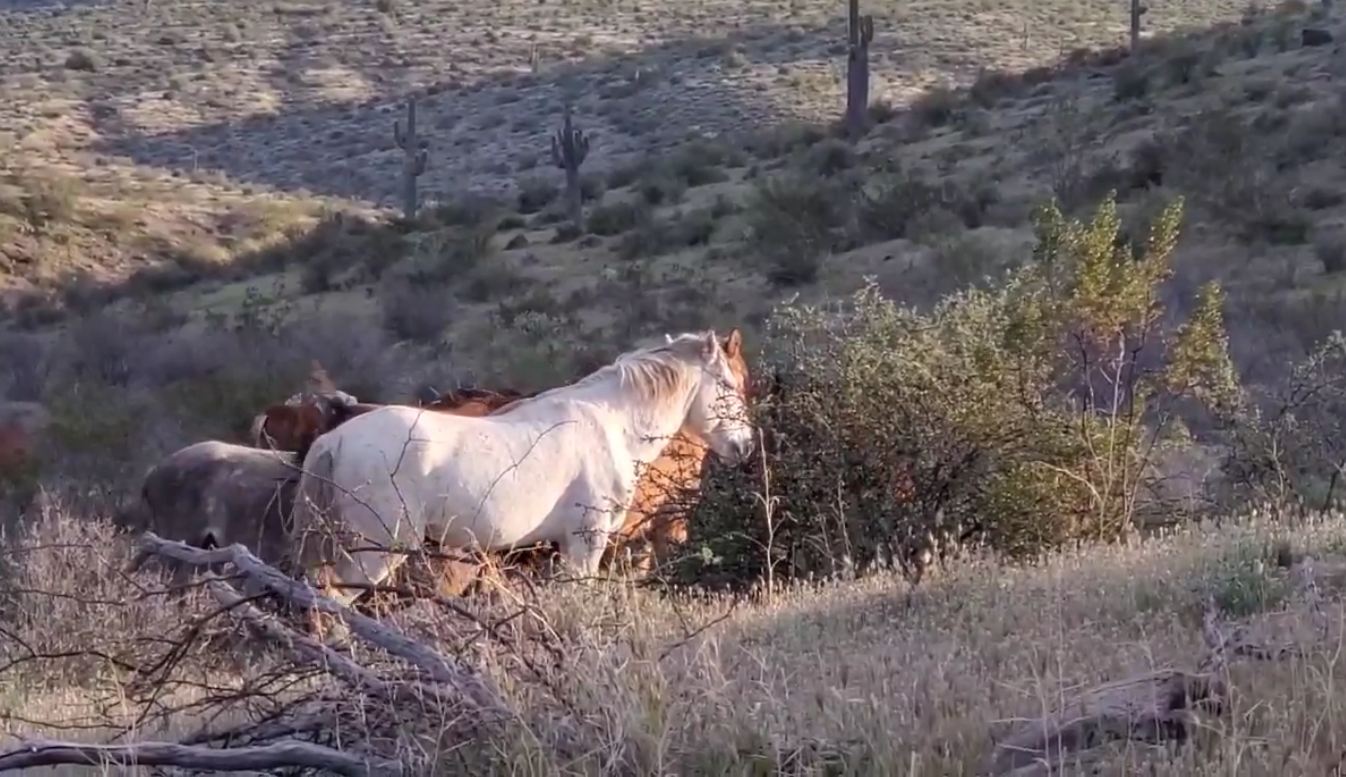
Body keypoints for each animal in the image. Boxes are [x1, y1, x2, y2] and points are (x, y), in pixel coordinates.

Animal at [288, 329, 756, 628]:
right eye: (729, 385)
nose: (745, 445)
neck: (612, 422)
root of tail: (332, 440)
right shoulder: (587, 540)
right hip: (376, 551)